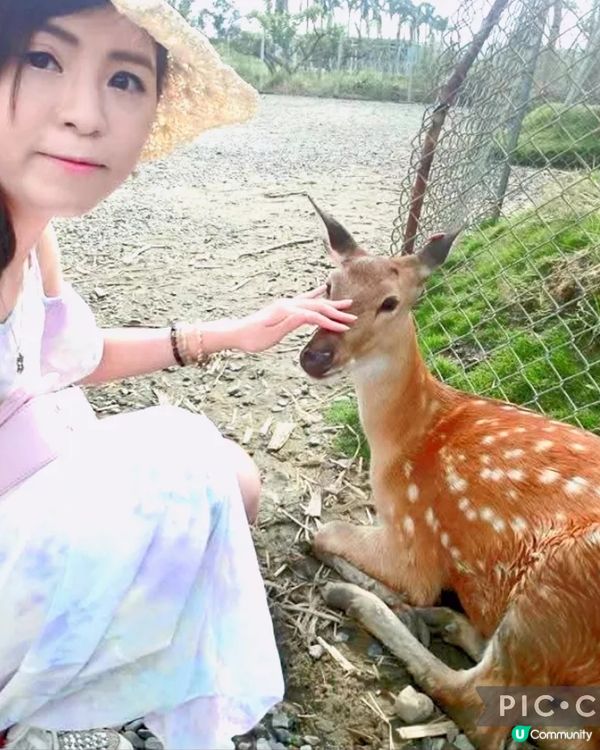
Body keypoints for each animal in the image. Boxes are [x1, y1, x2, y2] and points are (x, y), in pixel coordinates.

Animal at [299, 200, 600, 750]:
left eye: (391, 303)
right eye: (330, 285)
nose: (316, 356)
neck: (405, 440)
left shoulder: (416, 531)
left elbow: (323, 532)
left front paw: (381, 590)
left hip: (557, 586)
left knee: (479, 704)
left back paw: (363, 601)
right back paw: (443, 621)